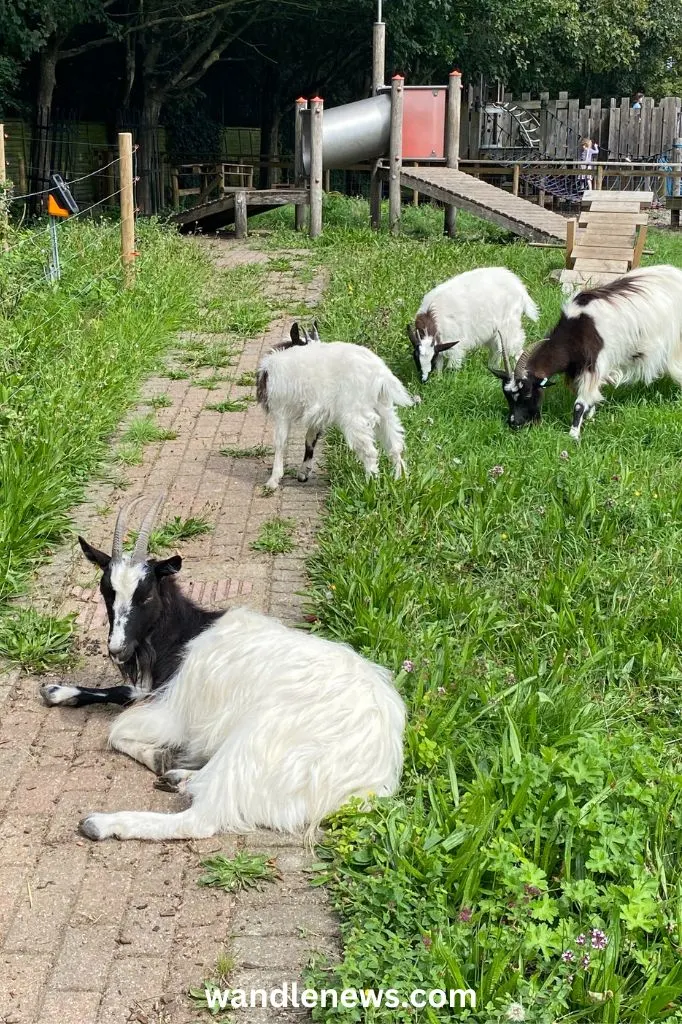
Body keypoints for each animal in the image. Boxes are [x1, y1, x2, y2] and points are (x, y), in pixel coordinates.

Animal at [42, 495, 405, 839]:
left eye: (145, 596)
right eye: (106, 592)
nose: (117, 648)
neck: (186, 634)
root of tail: (366, 781)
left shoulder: (176, 711)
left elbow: (116, 730)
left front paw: (158, 756)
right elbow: (125, 691)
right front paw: (57, 690)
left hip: (253, 743)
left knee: (201, 820)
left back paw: (104, 822)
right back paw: (180, 778)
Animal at [254, 323, 413, 491]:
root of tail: (381, 374)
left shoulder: (281, 410)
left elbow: (280, 441)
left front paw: (273, 480)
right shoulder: (316, 415)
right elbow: (310, 439)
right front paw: (303, 472)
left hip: (354, 414)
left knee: (370, 451)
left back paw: (370, 484)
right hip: (385, 409)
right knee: (395, 445)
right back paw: (400, 479)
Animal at [405, 268, 540, 385]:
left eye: (431, 360)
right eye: (415, 357)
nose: (423, 380)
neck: (431, 316)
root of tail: (519, 286)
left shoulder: (455, 343)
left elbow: (452, 364)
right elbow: (440, 362)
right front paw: (438, 380)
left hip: (509, 325)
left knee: (514, 350)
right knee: (497, 349)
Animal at [489, 264, 682, 436]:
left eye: (528, 394)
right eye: (507, 395)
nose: (514, 423)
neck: (577, 330)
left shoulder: (594, 363)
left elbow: (579, 404)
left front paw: (573, 435)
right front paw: (590, 418)